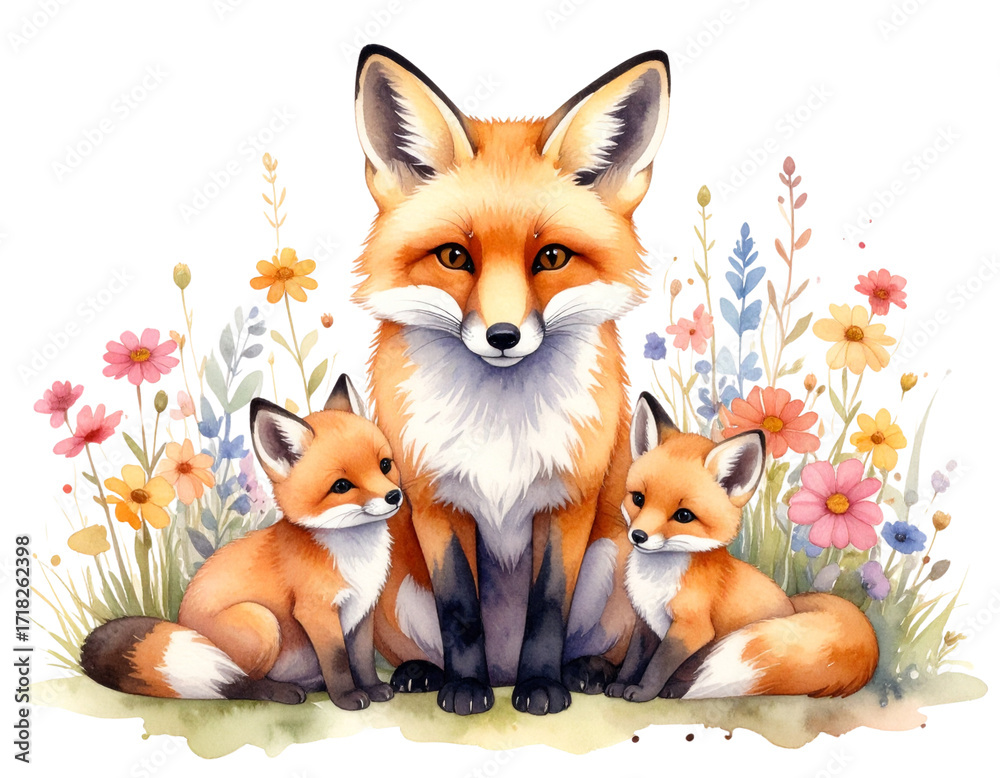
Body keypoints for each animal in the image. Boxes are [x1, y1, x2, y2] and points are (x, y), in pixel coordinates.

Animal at [80, 375, 402, 711]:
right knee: (237, 684)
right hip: (262, 622)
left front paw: (373, 688)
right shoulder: (316, 612)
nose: (394, 496)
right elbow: (338, 663)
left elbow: (362, 660)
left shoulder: (363, 612)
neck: (355, 556)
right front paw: (347, 697)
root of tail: (184, 627)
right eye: (341, 486)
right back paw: (283, 691)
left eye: (385, 465)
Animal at [352, 45, 670, 715]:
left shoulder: (568, 501)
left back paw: (583, 672)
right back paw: (427, 672)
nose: (503, 336)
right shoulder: (435, 502)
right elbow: (460, 610)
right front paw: (465, 688)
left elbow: (547, 608)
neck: (499, 425)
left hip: (617, 556)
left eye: (550, 258)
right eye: (454, 257)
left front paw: (543, 685)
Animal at [605, 392, 879, 702]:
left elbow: (657, 666)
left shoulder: (692, 629)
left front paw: (643, 692)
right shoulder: (646, 621)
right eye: (638, 499)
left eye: (684, 516)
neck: (656, 579)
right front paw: (620, 683)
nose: (638, 536)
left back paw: (676, 690)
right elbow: (635, 658)